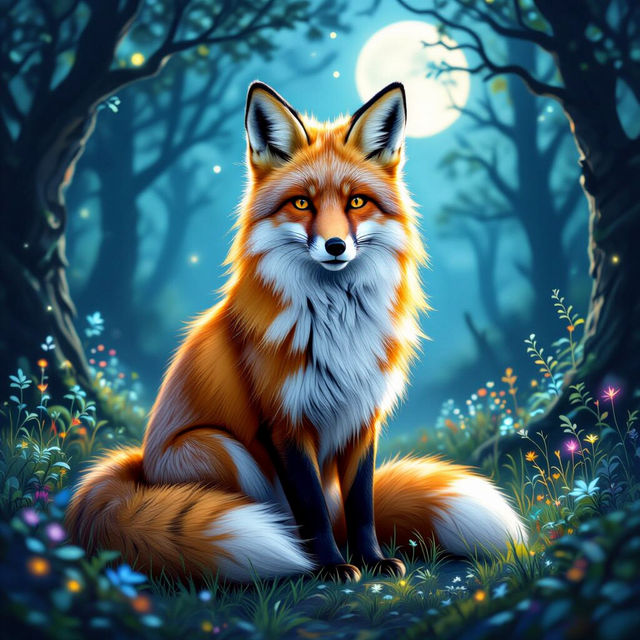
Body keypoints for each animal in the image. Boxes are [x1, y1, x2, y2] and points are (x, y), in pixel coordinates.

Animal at [66, 81, 527, 583]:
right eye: (302, 203)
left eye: (356, 201)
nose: (335, 246)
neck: (337, 325)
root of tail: (140, 470)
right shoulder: (284, 423)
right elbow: (311, 510)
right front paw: (329, 565)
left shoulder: (363, 418)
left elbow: (362, 505)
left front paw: (371, 560)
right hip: (219, 446)